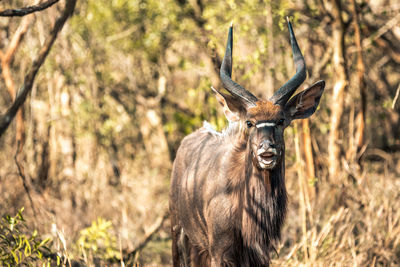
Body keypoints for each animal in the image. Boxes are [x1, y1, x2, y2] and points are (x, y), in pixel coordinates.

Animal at [169, 19, 324, 267]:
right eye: (249, 122)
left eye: (281, 121)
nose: (267, 150)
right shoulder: (219, 252)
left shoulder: (260, 254)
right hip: (178, 232)